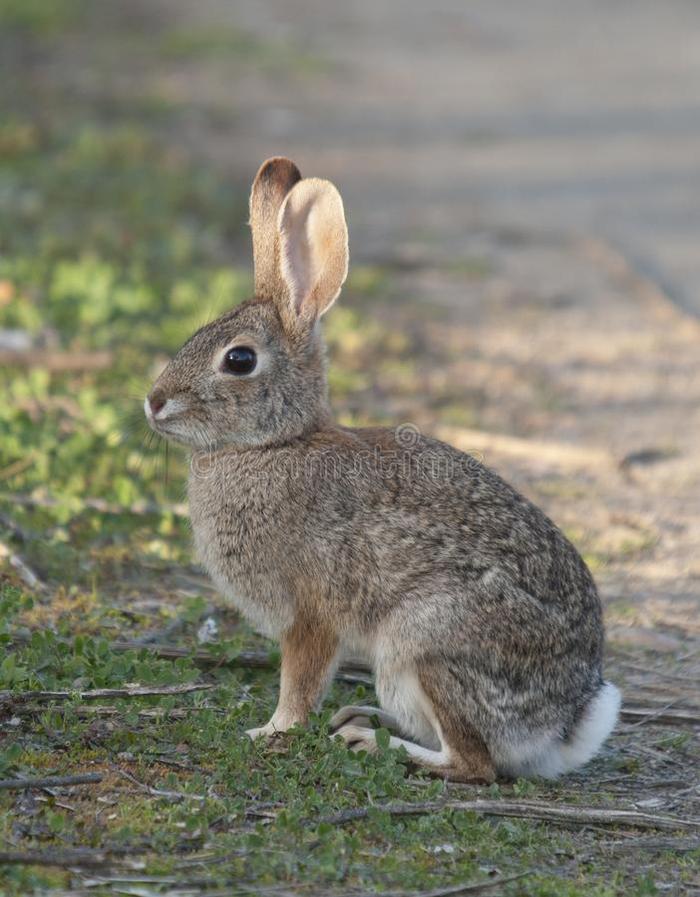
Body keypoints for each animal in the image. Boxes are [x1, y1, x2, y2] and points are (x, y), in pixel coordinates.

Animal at [146, 158, 616, 780]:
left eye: (239, 360)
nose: (154, 402)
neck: (275, 444)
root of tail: (564, 724)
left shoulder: (312, 613)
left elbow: (299, 683)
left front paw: (270, 731)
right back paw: (361, 717)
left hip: (424, 640)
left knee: (474, 763)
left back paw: (371, 743)